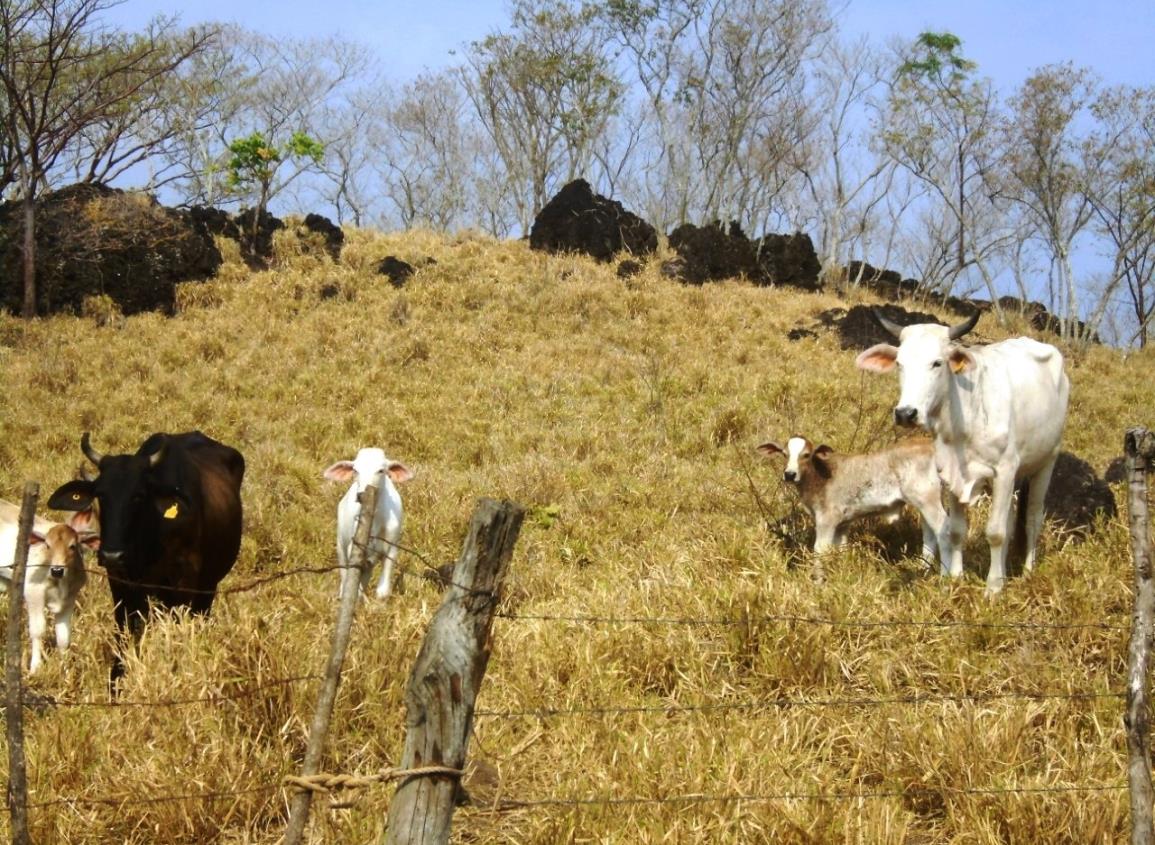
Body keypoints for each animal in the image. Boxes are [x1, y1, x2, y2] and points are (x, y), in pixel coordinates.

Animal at [0, 500, 97, 674]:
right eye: (47, 545)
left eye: (72, 546)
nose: (57, 570)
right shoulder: (34, 593)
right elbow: (38, 631)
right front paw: (35, 667)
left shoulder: (70, 599)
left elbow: (63, 637)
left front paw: (65, 670)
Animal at [48, 431, 244, 678]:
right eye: (101, 495)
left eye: (138, 495)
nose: (112, 554)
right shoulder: (121, 584)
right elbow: (124, 637)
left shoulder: (185, 583)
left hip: (208, 585)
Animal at [321, 447, 415, 600]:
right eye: (355, 470)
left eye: (381, 470)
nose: (360, 495)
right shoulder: (353, 547)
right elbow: (353, 582)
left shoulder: (392, 547)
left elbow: (383, 591)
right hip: (340, 543)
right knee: (344, 574)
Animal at [753, 436, 951, 567]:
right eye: (784, 454)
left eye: (806, 455)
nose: (789, 474)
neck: (820, 476)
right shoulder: (843, 523)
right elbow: (840, 548)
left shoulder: (827, 518)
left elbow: (820, 549)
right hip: (926, 503)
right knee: (929, 534)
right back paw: (924, 567)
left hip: (927, 499)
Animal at [854, 309, 1067, 595]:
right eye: (899, 363)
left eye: (937, 363)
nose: (906, 413)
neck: (966, 414)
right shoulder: (952, 473)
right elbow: (955, 530)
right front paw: (955, 579)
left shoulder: (1005, 470)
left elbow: (996, 532)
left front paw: (993, 589)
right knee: (1012, 521)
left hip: (1046, 462)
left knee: (1033, 518)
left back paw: (1027, 573)